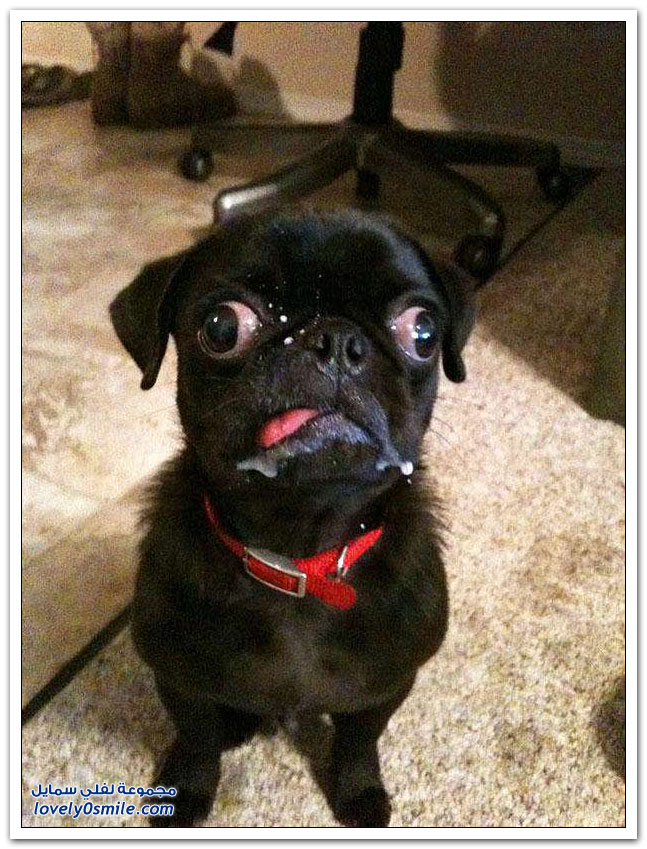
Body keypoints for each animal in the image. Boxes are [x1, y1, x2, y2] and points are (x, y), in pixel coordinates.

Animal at [110, 208, 474, 827]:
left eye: (423, 332)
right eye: (221, 328)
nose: (335, 341)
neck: (299, 552)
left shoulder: (385, 688)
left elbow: (358, 743)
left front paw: (359, 793)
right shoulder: (179, 680)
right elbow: (197, 740)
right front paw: (183, 795)